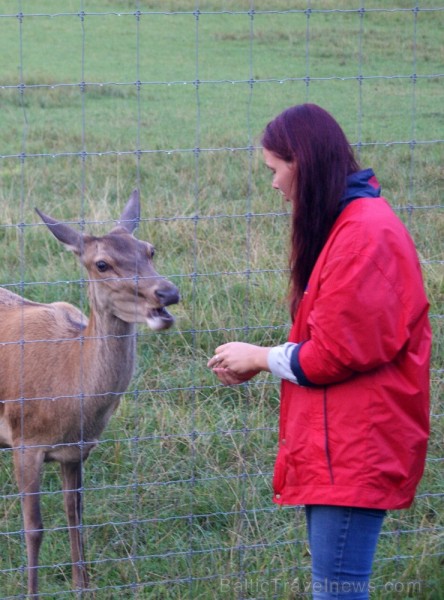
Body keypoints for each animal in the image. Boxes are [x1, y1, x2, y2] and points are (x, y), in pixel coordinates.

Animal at [0, 191, 180, 596]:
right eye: (102, 263)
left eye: (150, 249)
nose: (168, 292)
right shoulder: (25, 442)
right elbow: (34, 529)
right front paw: (31, 593)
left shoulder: (76, 451)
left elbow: (75, 515)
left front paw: (83, 587)